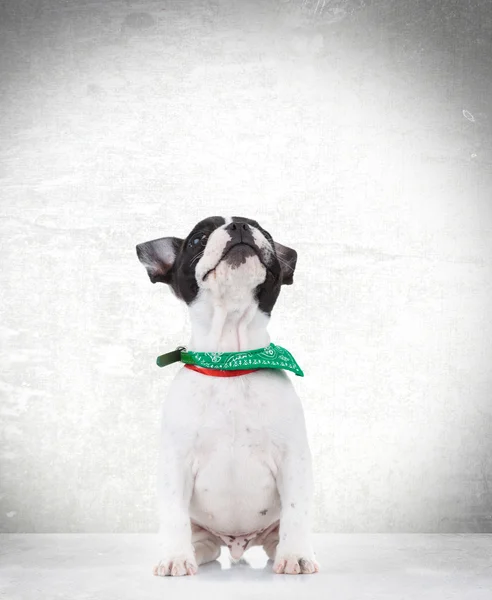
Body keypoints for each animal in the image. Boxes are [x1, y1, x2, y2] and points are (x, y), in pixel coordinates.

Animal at [136, 216, 318, 576]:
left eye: (267, 235)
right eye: (198, 239)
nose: (240, 226)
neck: (230, 362)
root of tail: (238, 544)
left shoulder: (293, 459)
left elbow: (297, 510)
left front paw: (297, 555)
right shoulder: (175, 463)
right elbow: (173, 515)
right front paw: (174, 557)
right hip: (204, 536)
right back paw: (188, 553)